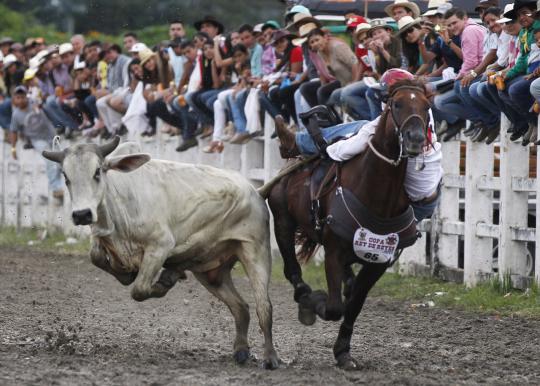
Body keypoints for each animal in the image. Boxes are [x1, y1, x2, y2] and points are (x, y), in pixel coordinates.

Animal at [42, 137, 278, 370]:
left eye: (97, 171)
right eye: (66, 176)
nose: (82, 214)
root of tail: (255, 190)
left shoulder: (160, 245)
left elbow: (139, 290)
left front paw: (161, 284)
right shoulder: (102, 238)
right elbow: (96, 256)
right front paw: (130, 273)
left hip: (255, 250)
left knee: (264, 307)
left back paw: (270, 357)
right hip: (211, 272)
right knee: (241, 308)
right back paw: (241, 350)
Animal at [266, 79, 430, 370]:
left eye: (426, 106)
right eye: (397, 104)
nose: (415, 138)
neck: (376, 192)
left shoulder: (379, 261)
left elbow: (353, 306)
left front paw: (343, 352)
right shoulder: (333, 252)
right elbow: (334, 307)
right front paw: (318, 301)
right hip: (283, 222)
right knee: (292, 272)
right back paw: (306, 298)